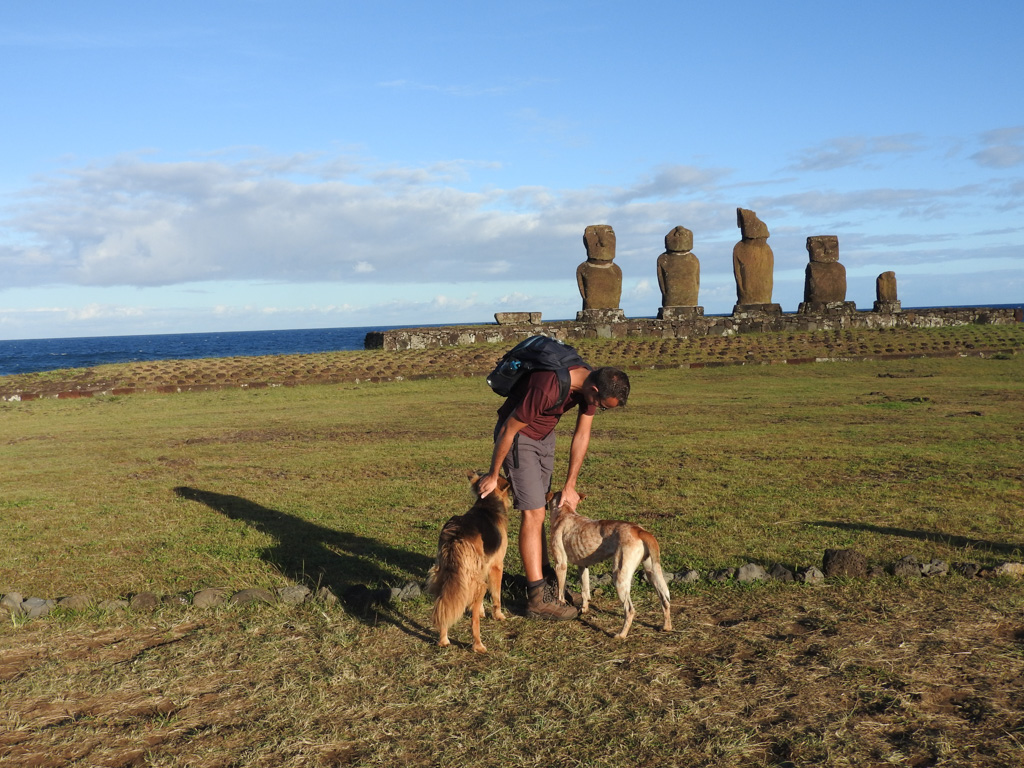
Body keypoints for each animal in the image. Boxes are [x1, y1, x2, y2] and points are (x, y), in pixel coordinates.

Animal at [423, 473, 512, 651]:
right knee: (474, 623)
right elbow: (497, 595)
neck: (488, 504)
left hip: (443, 579)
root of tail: (456, 538)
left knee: (443, 608)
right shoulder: (496, 566)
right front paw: (498, 615)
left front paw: (482, 611)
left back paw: (443, 641)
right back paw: (478, 645)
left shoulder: (480, 569)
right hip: (478, 585)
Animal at [548, 495, 667, 638]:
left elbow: (561, 592)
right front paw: (584, 609)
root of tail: (639, 530)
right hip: (652, 572)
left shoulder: (560, 564)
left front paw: (561, 605)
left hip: (619, 577)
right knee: (665, 600)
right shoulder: (583, 566)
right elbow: (585, 591)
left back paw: (621, 635)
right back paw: (666, 627)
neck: (564, 512)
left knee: (630, 610)